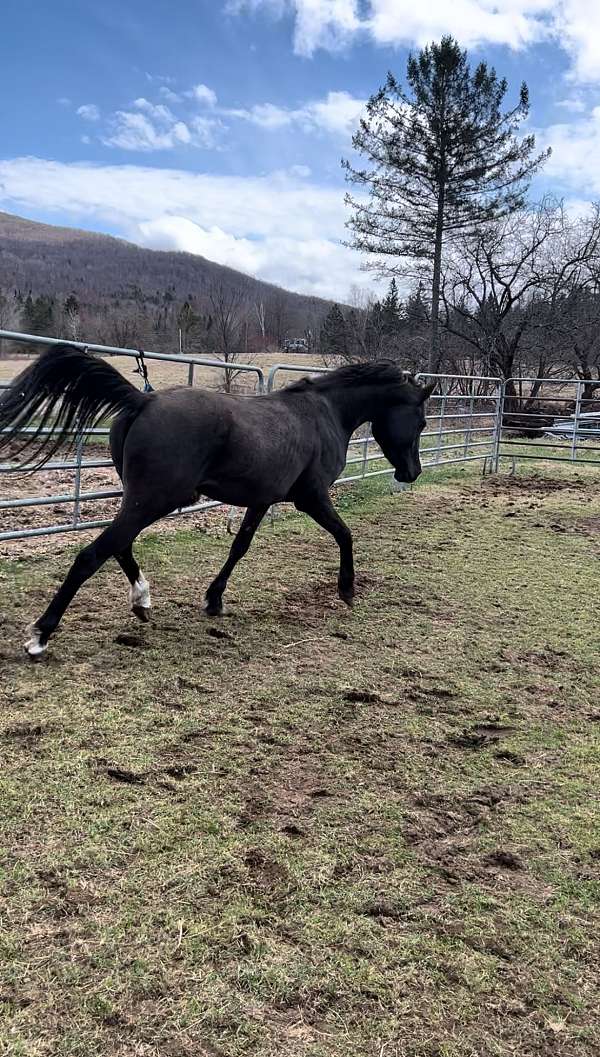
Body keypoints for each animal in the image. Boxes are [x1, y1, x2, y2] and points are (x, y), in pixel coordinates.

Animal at [0, 346, 433, 655]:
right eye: (422, 421)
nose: (412, 473)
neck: (326, 414)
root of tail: (144, 402)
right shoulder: (311, 497)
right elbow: (345, 534)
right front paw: (346, 590)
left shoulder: (262, 500)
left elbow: (239, 546)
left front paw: (214, 600)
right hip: (153, 499)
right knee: (94, 553)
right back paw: (40, 635)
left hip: (139, 499)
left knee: (119, 546)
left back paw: (142, 601)